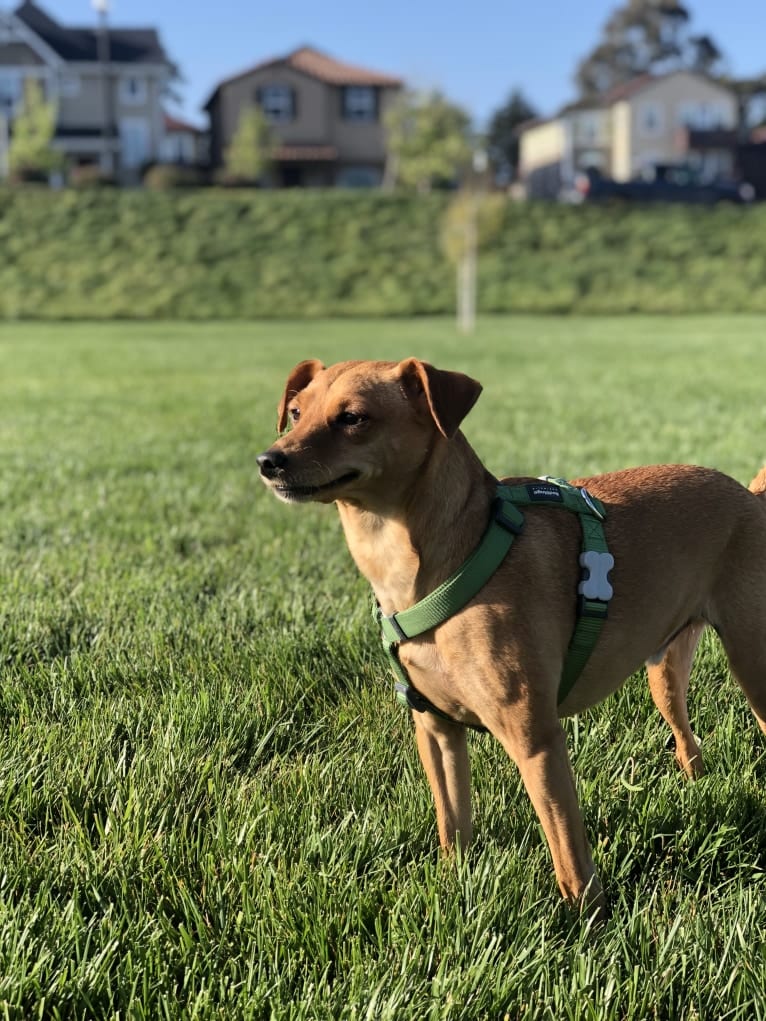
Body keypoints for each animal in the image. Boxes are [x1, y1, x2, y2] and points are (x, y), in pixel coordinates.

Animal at [256, 355, 766, 914]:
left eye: (354, 418)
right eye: (296, 412)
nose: (268, 461)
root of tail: (750, 498)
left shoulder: (536, 742)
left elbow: (570, 857)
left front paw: (589, 925)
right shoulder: (436, 731)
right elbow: (452, 825)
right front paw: (454, 886)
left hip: (755, 666)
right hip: (665, 672)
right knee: (686, 738)